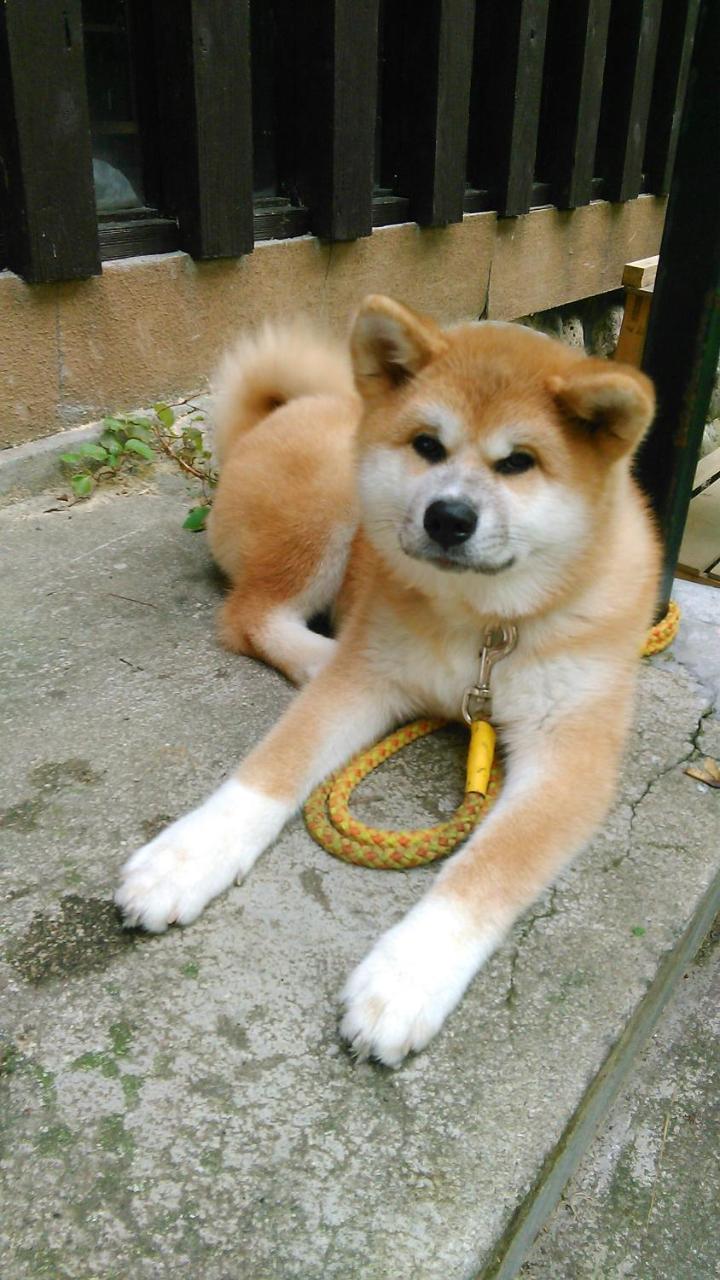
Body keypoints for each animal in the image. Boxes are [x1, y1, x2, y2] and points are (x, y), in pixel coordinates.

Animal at [114, 294, 661, 1064]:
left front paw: (409, 975)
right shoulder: (365, 680)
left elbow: (488, 870)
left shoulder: (570, 757)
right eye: (427, 445)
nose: (448, 516)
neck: (485, 626)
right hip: (330, 508)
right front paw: (186, 857)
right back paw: (315, 654)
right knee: (250, 615)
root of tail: (282, 414)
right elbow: (272, 769)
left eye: (519, 463)